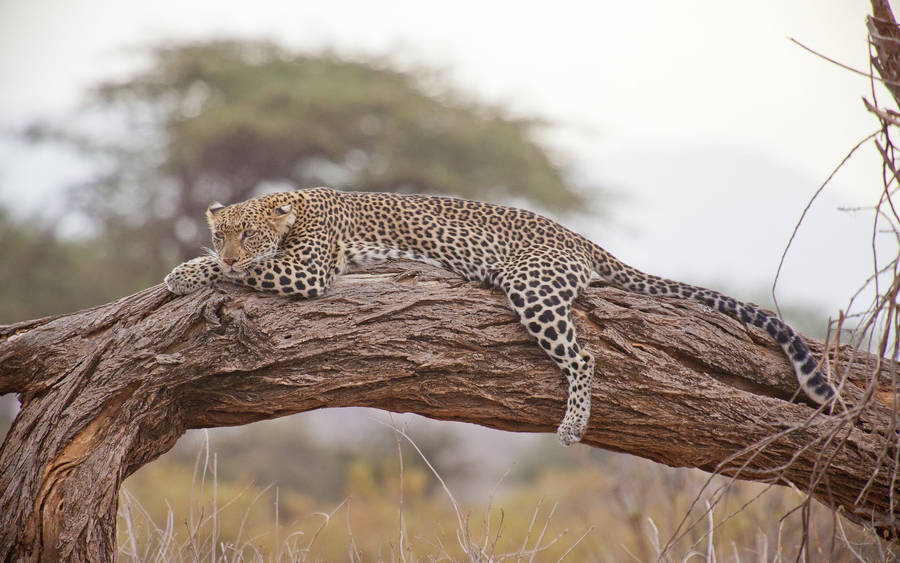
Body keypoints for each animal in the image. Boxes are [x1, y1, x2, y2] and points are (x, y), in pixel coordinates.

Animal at [164, 187, 836, 445]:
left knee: (583, 354)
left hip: (531, 286)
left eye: (248, 236)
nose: (229, 248)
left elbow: (238, 274)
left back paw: (572, 424)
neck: (294, 207)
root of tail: (580, 239)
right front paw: (186, 267)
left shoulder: (307, 270)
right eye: (223, 232)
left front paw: (189, 273)